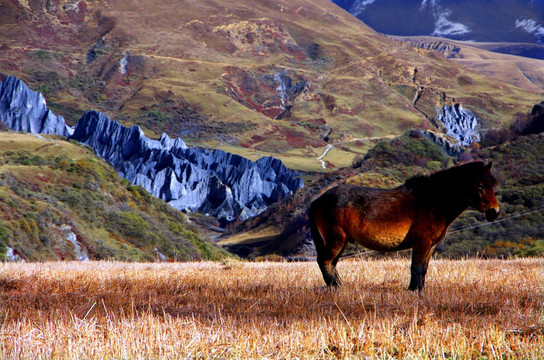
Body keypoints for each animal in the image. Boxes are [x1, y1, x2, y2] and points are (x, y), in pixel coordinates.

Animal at [308, 162, 500, 292]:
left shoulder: (430, 245)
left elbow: (423, 269)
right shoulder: (422, 242)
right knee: (324, 262)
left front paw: (418, 290)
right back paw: (334, 287)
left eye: (493, 185)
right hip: (336, 239)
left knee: (332, 264)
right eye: (480, 186)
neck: (434, 200)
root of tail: (318, 200)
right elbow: (416, 268)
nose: (494, 212)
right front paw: (414, 291)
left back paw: (340, 286)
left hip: (342, 241)